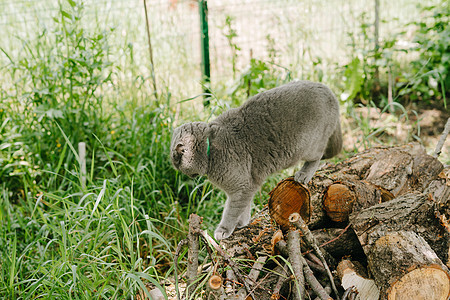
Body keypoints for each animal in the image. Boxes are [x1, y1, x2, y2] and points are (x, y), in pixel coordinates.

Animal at [171, 81, 342, 240]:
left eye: (176, 162)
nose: (179, 170)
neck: (210, 148)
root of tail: (329, 91)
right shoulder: (247, 186)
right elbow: (244, 206)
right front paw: (242, 223)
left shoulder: (241, 186)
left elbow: (231, 211)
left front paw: (224, 230)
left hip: (309, 146)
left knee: (318, 156)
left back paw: (304, 174)